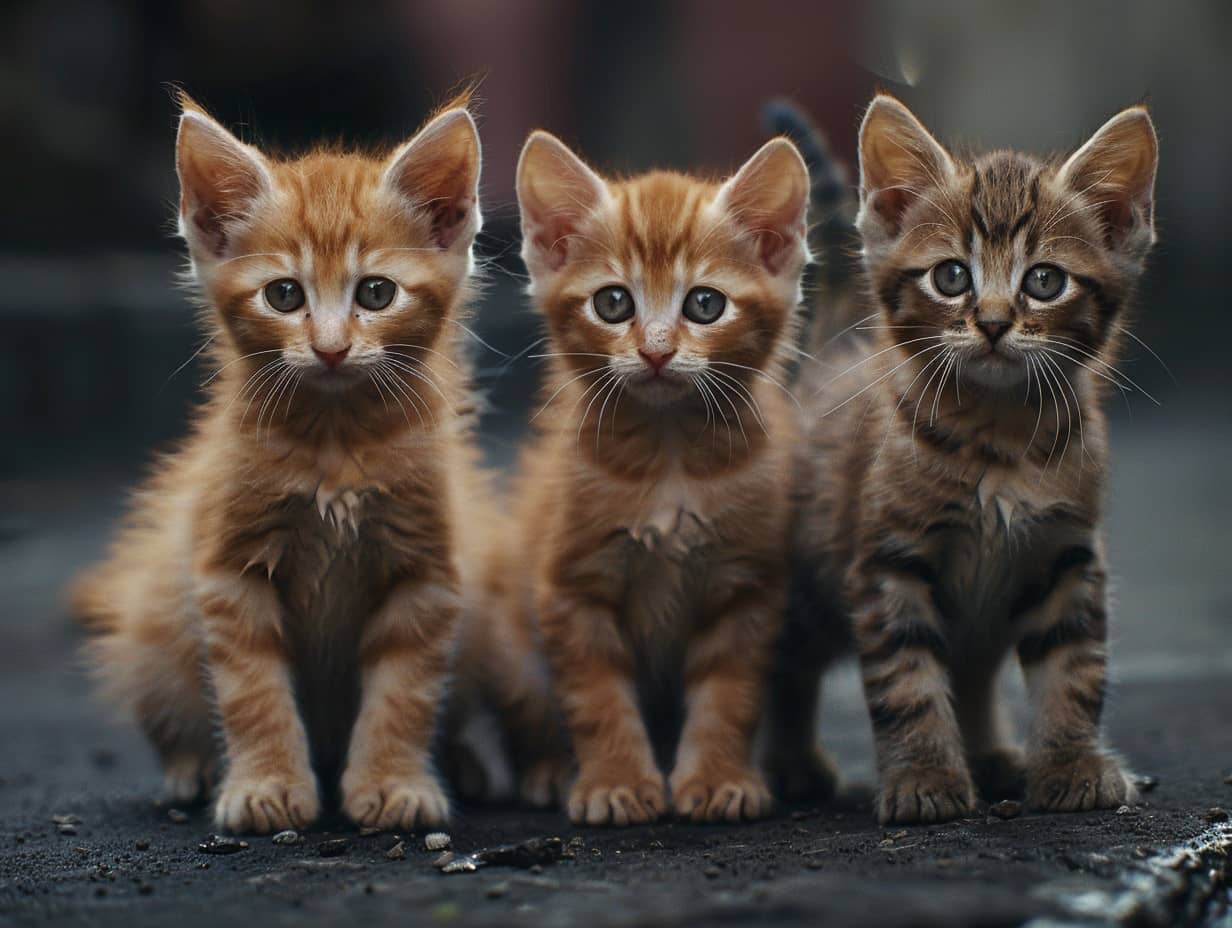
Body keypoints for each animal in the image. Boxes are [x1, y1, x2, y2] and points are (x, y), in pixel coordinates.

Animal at [70, 92, 485, 833]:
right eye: (284, 296)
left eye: (376, 294)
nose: (330, 348)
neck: (335, 444)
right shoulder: (227, 570)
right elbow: (252, 692)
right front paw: (265, 786)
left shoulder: (427, 572)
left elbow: (404, 691)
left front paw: (393, 783)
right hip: (151, 625)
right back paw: (190, 770)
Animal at [495, 131, 813, 823]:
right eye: (613, 302)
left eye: (705, 303)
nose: (657, 350)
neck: (669, 456)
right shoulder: (571, 588)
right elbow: (596, 698)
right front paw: (615, 781)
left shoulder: (748, 589)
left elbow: (729, 694)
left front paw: (719, 777)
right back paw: (549, 769)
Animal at [783, 94, 1158, 823]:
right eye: (951, 276)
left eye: (1044, 282)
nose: (991, 321)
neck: (999, 439)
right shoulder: (889, 564)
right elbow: (907, 685)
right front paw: (924, 777)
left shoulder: (1066, 555)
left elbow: (1074, 671)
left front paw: (1071, 764)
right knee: (779, 666)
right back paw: (788, 766)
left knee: (973, 670)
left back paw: (992, 756)